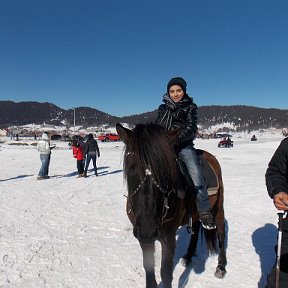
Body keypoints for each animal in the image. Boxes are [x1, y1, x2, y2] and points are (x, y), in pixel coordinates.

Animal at [116, 123, 226, 288]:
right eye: (130, 168)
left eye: (166, 170)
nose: (148, 229)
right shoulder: (143, 237)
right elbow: (149, 269)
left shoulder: (168, 238)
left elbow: (166, 273)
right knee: (195, 230)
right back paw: (187, 257)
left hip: (218, 207)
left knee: (221, 232)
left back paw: (221, 267)